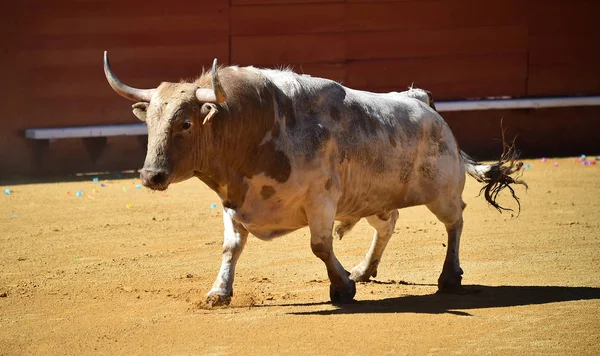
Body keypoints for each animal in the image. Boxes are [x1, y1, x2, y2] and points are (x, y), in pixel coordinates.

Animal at [102, 52, 524, 306]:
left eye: (186, 123)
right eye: (150, 122)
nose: (150, 175)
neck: (254, 125)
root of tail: (421, 100)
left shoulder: (321, 200)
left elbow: (320, 246)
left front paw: (342, 287)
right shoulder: (234, 201)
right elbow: (230, 248)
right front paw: (218, 292)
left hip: (442, 191)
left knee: (456, 222)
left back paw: (448, 276)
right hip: (373, 197)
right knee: (387, 224)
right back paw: (365, 270)